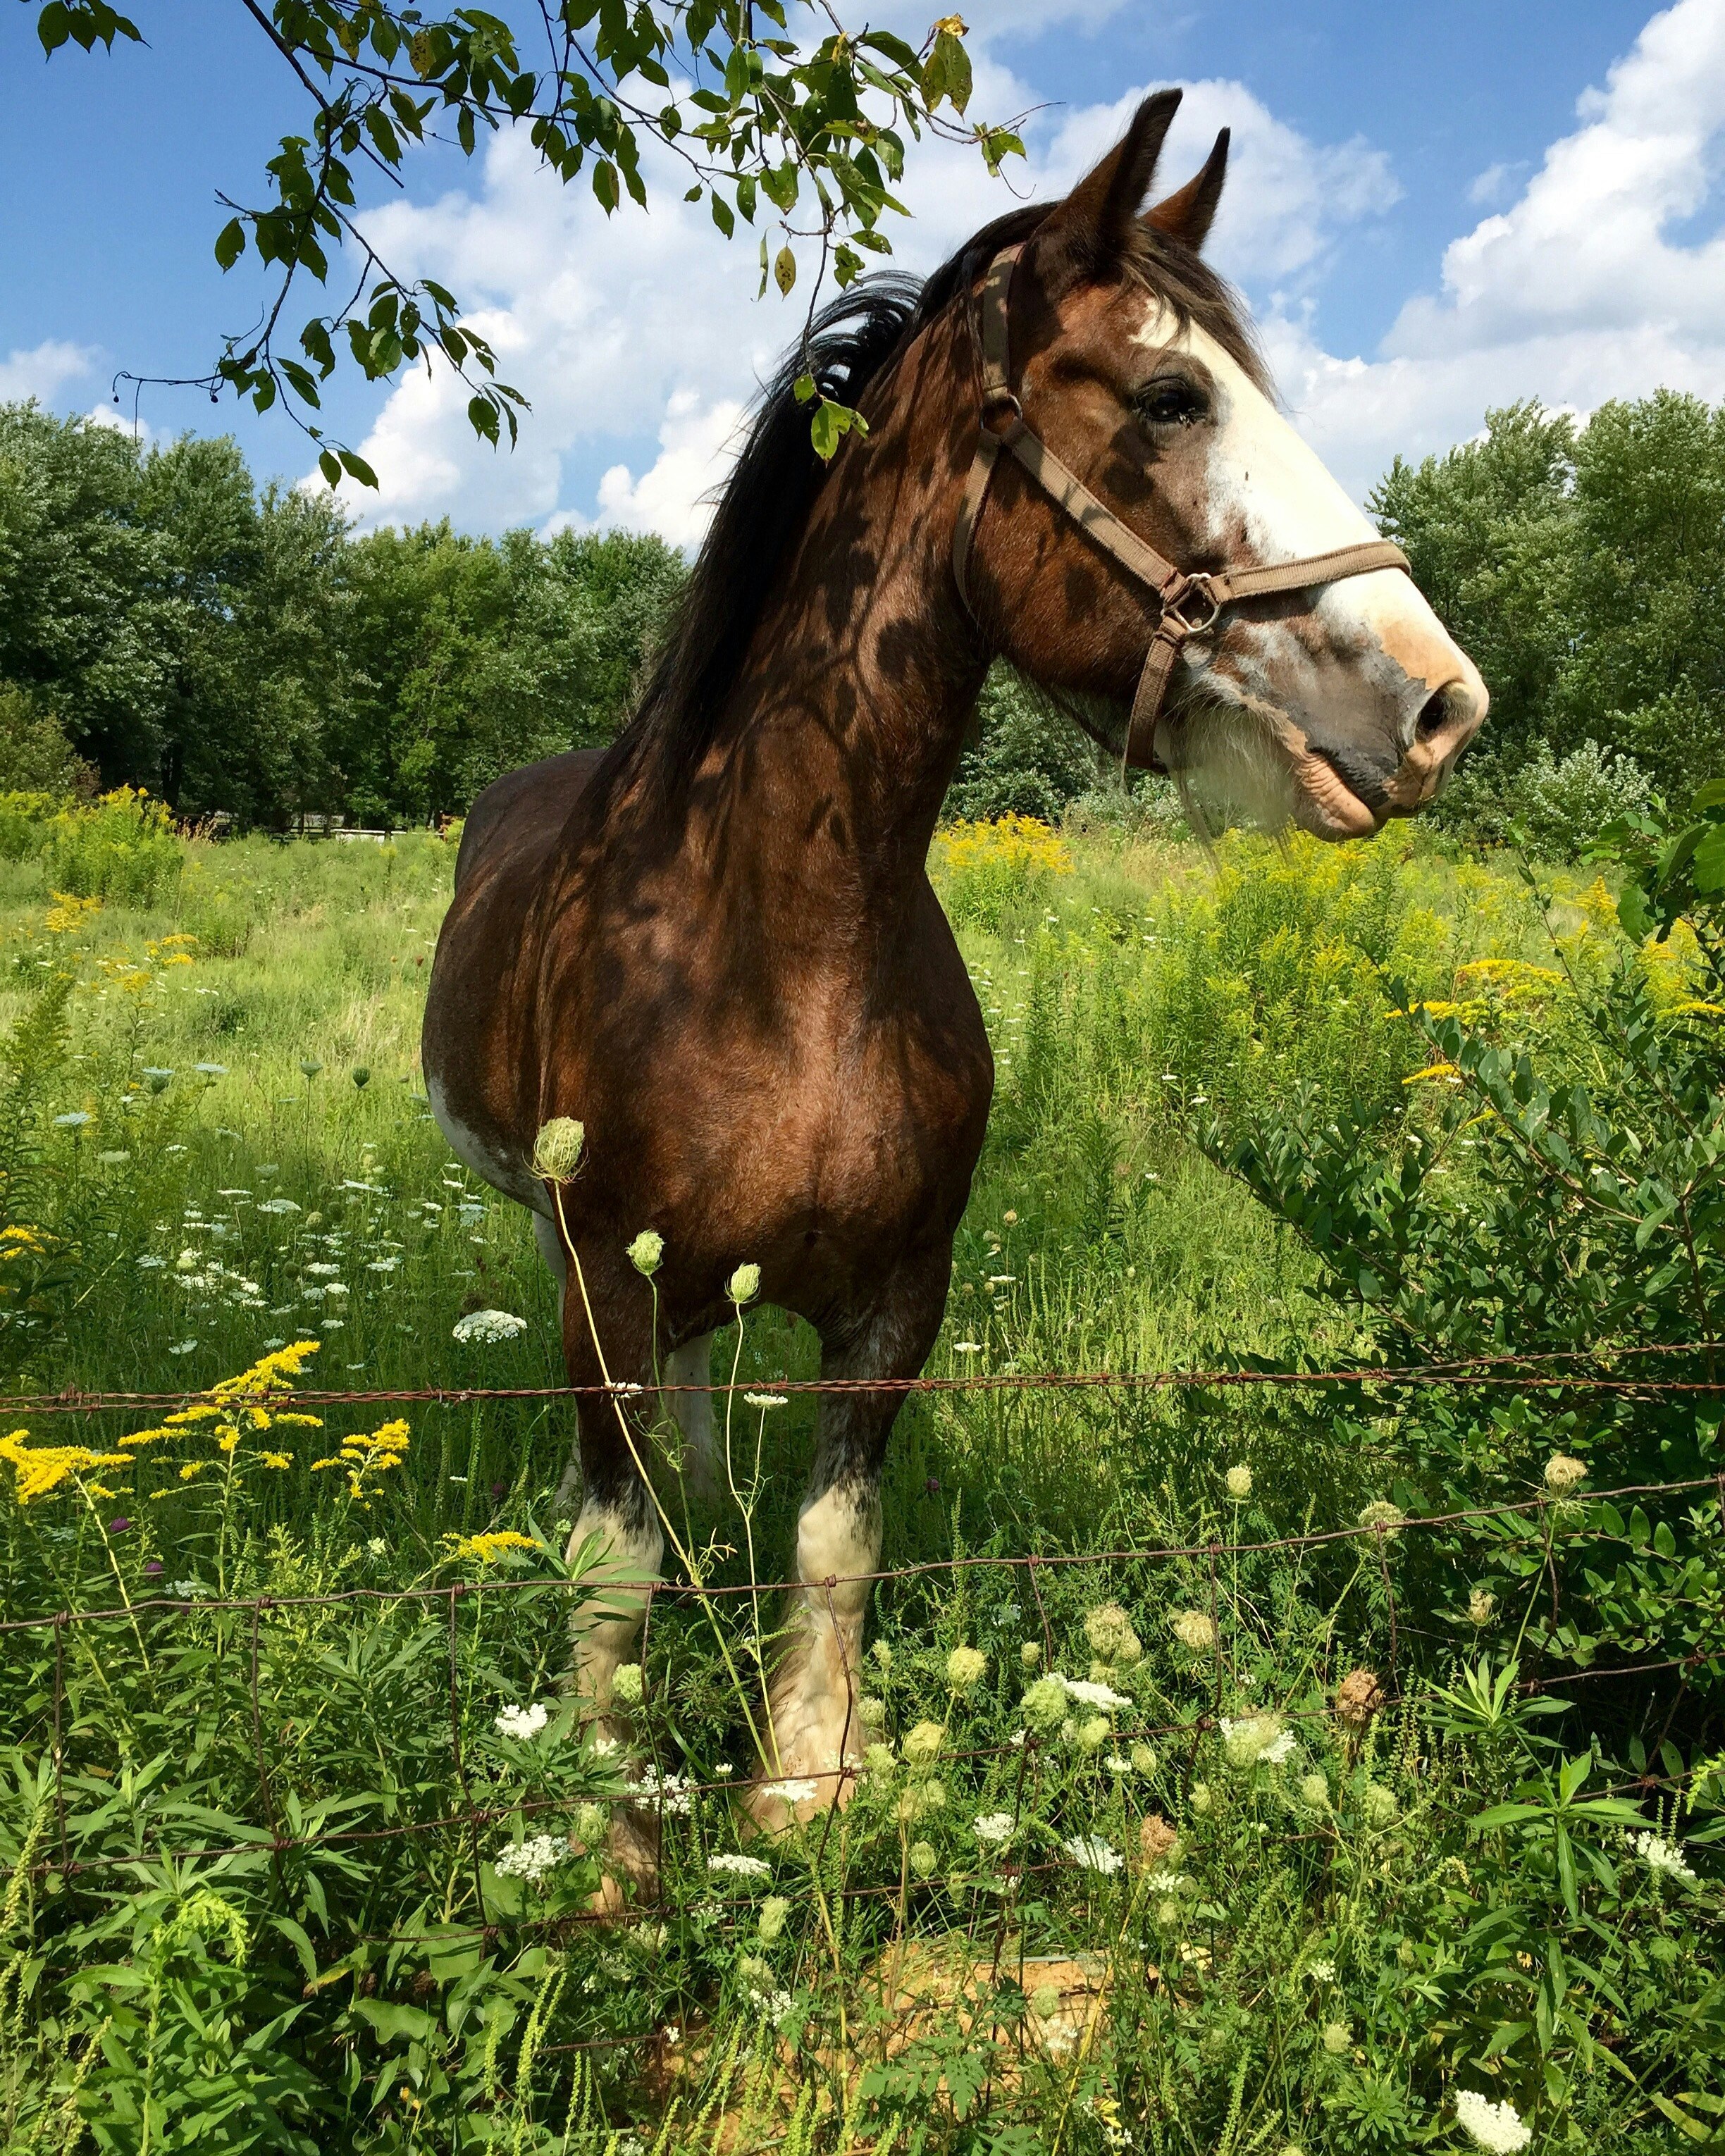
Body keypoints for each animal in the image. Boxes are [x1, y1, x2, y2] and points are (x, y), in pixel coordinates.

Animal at [422, 88, 1487, 1861]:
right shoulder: (603, 1293)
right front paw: (611, 1846)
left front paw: (803, 1787)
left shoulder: (893, 1306)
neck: (775, 948)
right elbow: (613, 1568)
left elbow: (831, 1545)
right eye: (1168, 396)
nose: (1437, 703)